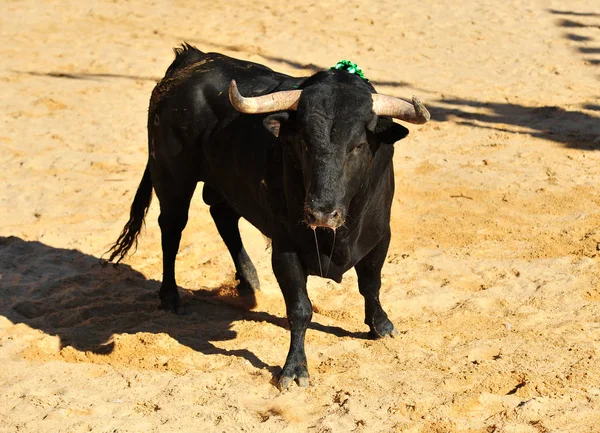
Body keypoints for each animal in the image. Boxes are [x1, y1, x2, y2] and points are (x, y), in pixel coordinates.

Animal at [106, 45, 426, 390]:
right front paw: (294, 368)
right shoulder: (285, 247)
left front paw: (381, 326)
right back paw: (170, 296)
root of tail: (191, 57)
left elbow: (371, 284)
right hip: (172, 176)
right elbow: (300, 308)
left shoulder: (380, 237)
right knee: (172, 229)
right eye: (303, 142)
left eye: (358, 145)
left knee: (223, 216)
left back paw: (249, 280)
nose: (321, 213)